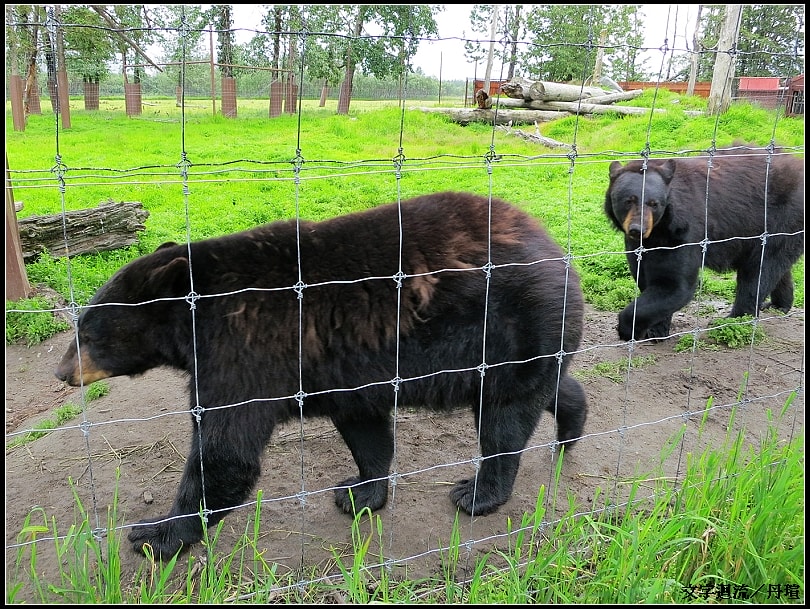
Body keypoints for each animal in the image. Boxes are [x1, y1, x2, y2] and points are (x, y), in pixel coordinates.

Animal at [54, 191, 588, 559]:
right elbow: (365, 430)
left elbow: (226, 452)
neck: (199, 312)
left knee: (504, 419)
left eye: (88, 330)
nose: (61, 372)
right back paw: (572, 424)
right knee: (545, 388)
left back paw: (479, 494)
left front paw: (155, 535)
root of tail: (558, 251)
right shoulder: (344, 369)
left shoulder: (246, 350)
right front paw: (359, 493)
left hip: (508, 326)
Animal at [604, 145, 804, 341]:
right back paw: (778, 305)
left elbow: (675, 284)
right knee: (775, 267)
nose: (638, 229)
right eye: (628, 200)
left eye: (654, 203)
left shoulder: (683, 232)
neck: (658, 231)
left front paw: (628, 329)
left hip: (783, 219)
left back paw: (734, 320)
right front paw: (656, 331)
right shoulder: (640, 245)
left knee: (759, 271)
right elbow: (646, 278)